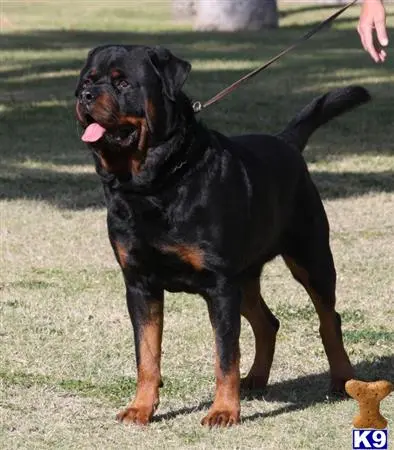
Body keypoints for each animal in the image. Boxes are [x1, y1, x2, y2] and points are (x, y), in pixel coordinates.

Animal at [75, 45, 370, 428]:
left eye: (122, 82)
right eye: (87, 80)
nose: (84, 96)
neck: (153, 185)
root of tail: (285, 141)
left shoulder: (219, 285)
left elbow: (225, 354)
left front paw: (224, 411)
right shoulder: (140, 284)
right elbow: (147, 354)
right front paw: (141, 407)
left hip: (310, 258)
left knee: (328, 318)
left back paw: (342, 378)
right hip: (244, 278)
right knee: (267, 323)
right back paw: (256, 379)